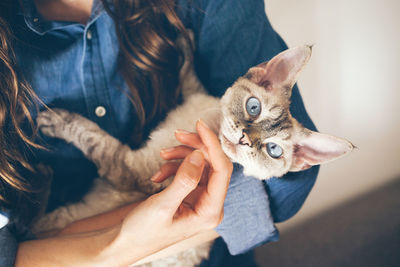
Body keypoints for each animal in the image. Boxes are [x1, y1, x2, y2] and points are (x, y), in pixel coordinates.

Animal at [33, 45, 354, 266]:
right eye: (254, 108)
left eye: (273, 150)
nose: (245, 138)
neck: (202, 121)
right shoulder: (194, 96)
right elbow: (190, 78)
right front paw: (184, 44)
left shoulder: (135, 171)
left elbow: (89, 135)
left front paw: (53, 119)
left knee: (33, 228)